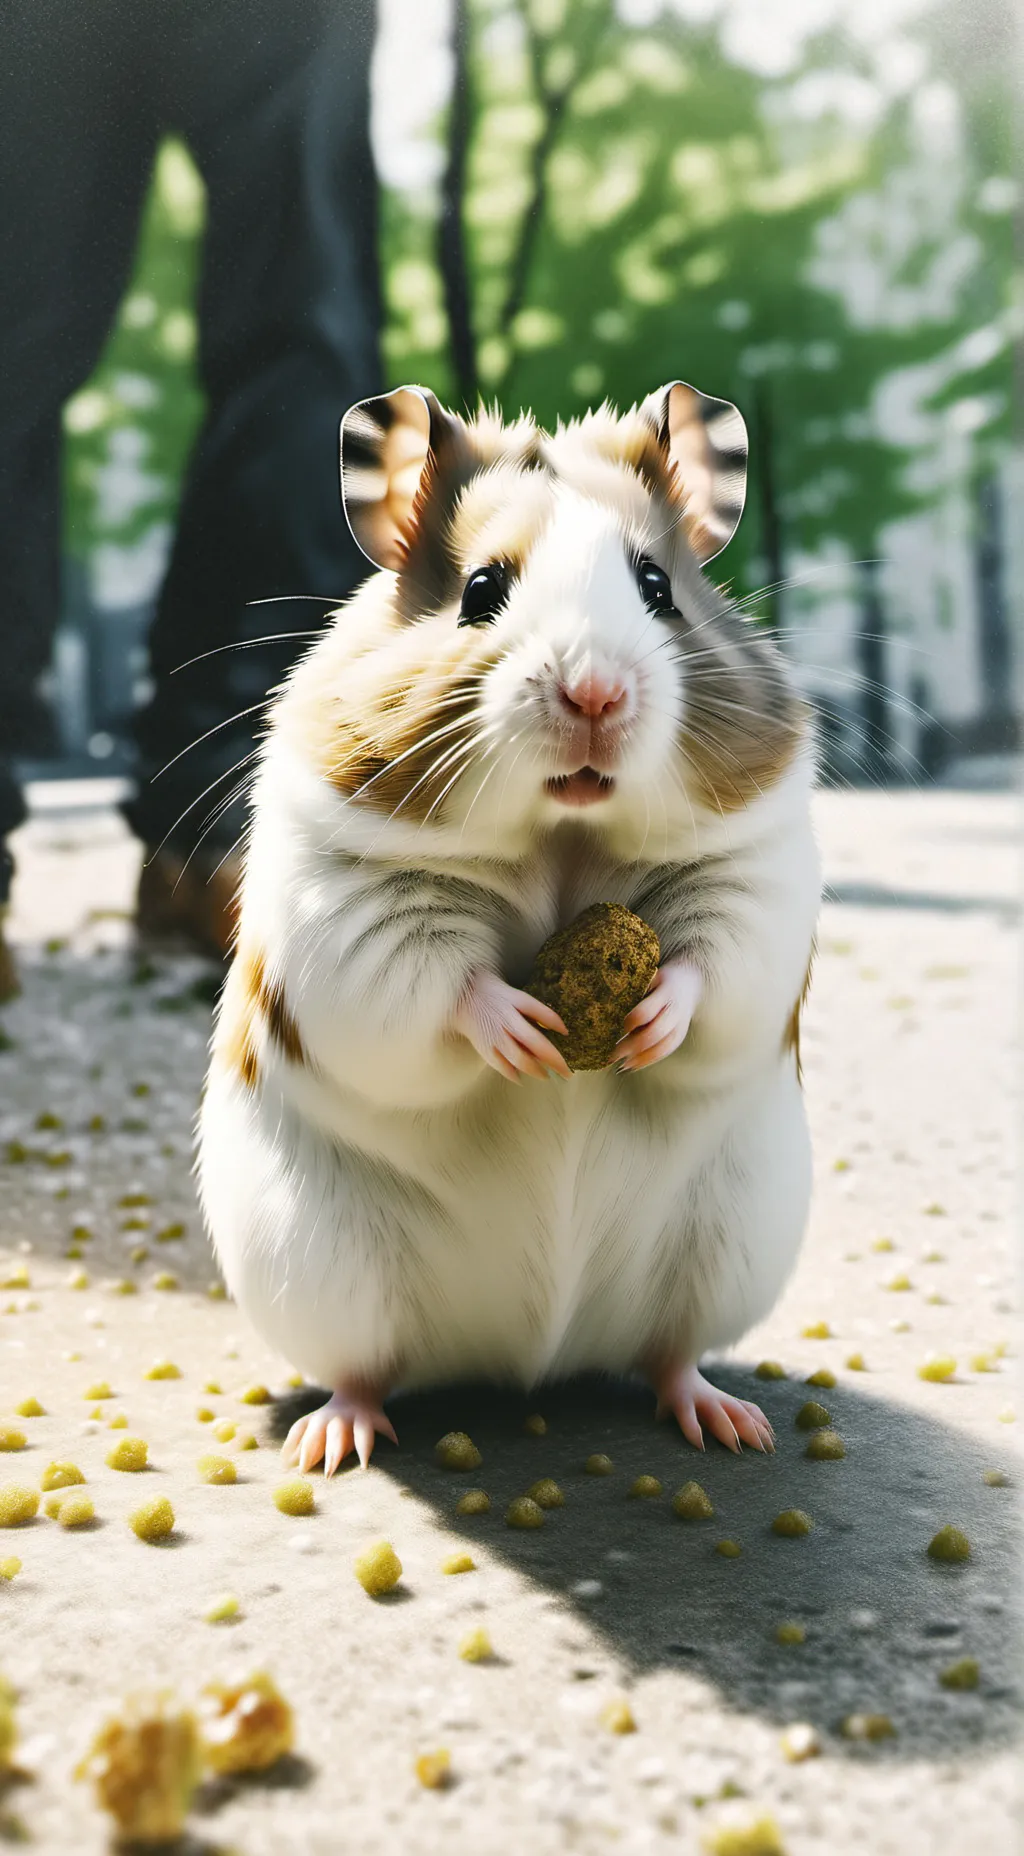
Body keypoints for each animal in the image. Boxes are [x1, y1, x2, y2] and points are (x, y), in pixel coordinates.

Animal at [197, 378, 821, 1475]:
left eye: (657, 586)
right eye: (481, 588)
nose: (596, 692)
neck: (561, 829)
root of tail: (532, 1356)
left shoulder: (754, 875)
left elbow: (714, 961)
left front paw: (647, 1022)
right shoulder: (356, 908)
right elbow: (433, 986)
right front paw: (525, 1035)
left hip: (729, 1244)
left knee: (669, 1352)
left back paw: (724, 1419)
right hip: (318, 1262)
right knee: (367, 1366)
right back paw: (330, 1439)